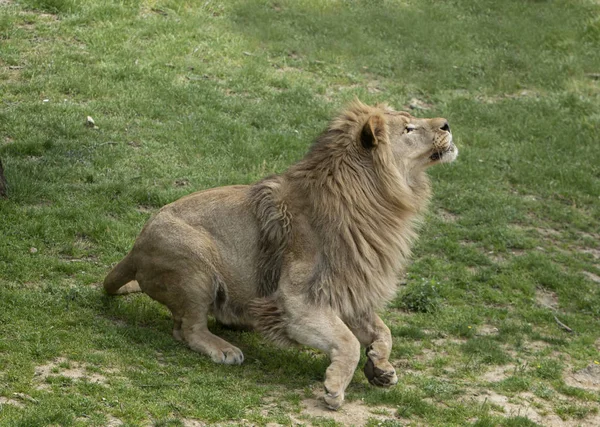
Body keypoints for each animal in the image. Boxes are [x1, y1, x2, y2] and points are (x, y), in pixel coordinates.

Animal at [104, 100, 460, 412]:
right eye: (409, 128)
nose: (446, 124)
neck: (380, 203)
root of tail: (134, 250)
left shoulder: (349, 291)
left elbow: (383, 331)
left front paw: (381, 367)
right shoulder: (296, 303)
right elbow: (348, 342)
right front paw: (335, 388)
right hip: (195, 262)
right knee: (187, 329)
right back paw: (224, 349)